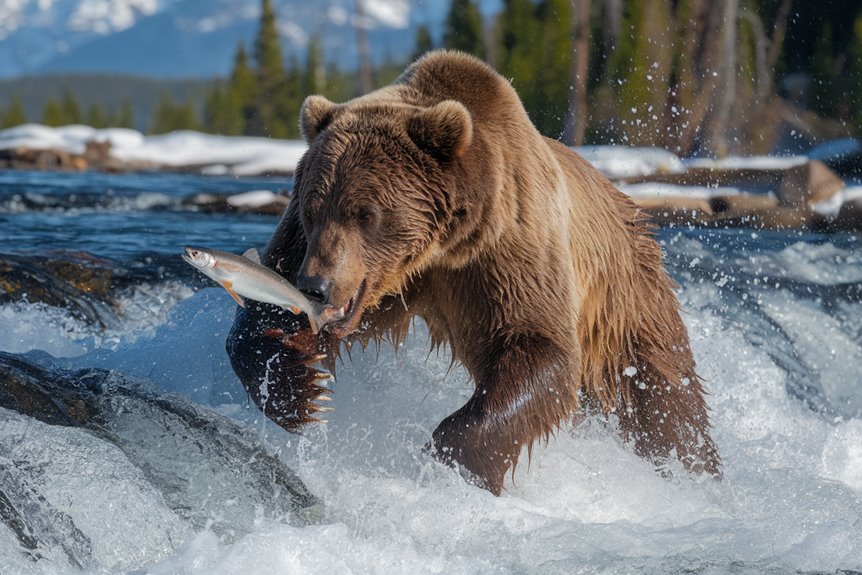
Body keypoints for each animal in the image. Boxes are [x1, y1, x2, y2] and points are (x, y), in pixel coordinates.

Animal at [226, 50, 721, 495]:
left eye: (366, 213)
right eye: (312, 209)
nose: (317, 286)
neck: (435, 249)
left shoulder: (506, 249)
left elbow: (539, 345)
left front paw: (447, 459)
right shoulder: (338, 261)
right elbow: (263, 311)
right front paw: (300, 388)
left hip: (626, 297)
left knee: (663, 395)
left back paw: (694, 469)